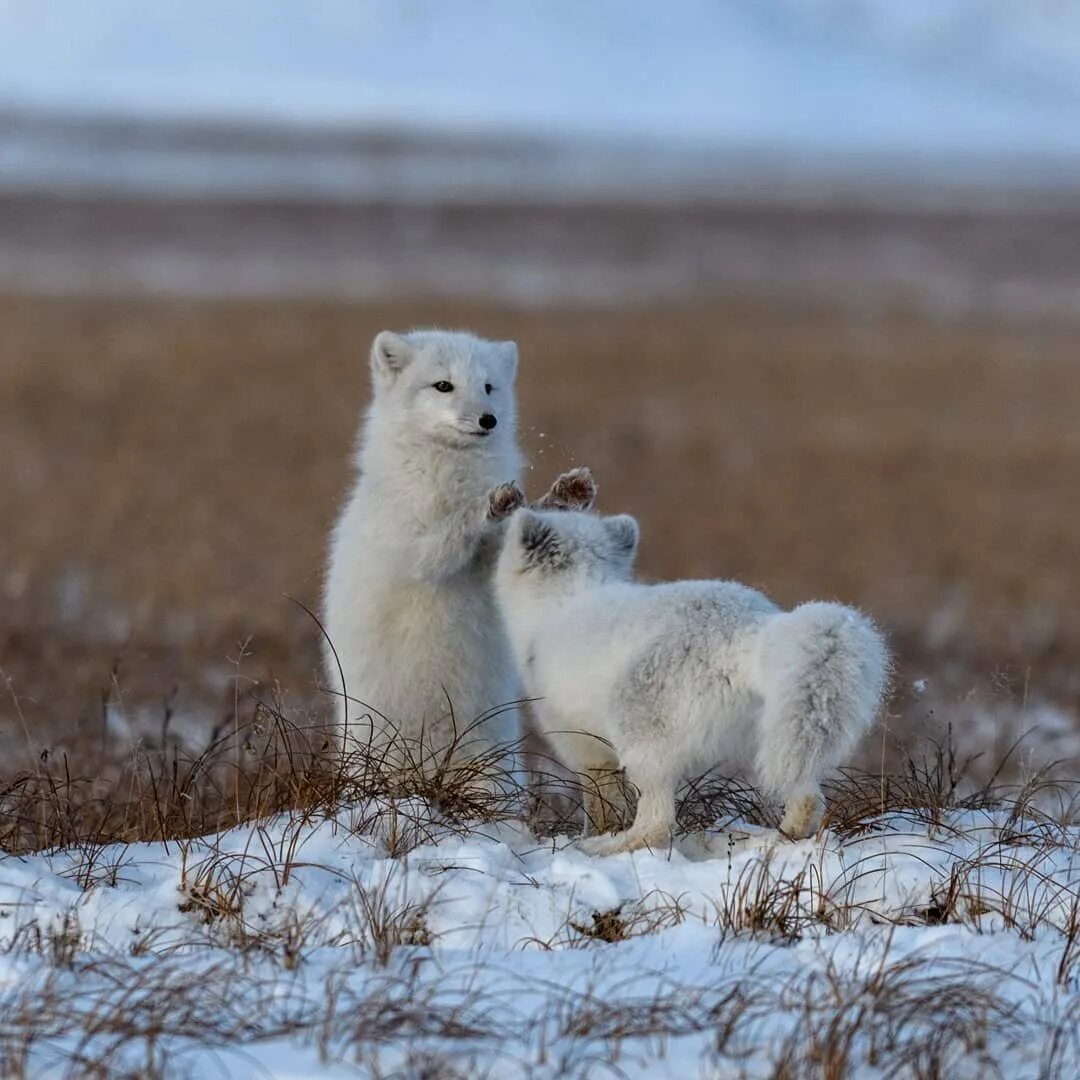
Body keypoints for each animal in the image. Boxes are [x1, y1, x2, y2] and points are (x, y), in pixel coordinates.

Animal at [321, 328, 591, 777]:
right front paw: (491, 504)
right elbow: (451, 535)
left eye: (488, 387)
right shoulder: (414, 548)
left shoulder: (492, 563)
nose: (488, 420)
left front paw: (565, 495)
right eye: (443, 385)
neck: (448, 472)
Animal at [494, 505, 889, 851]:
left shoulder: (577, 742)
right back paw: (785, 835)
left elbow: (601, 800)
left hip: (642, 738)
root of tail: (749, 631)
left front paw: (596, 833)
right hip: (779, 737)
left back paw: (607, 848)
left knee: (657, 823)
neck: (563, 597)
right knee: (808, 795)